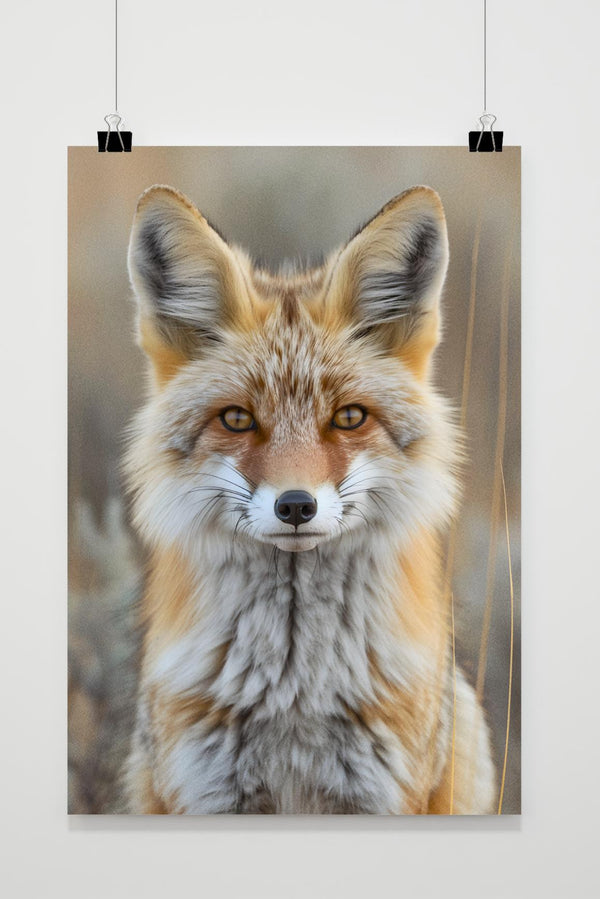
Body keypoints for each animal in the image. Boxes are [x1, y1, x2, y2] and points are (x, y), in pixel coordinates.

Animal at [123, 183, 495, 814]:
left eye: (348, 418)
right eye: (237, 419)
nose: (296, 505)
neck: (294, 691)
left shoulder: (380, 794)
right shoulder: (211, 793)